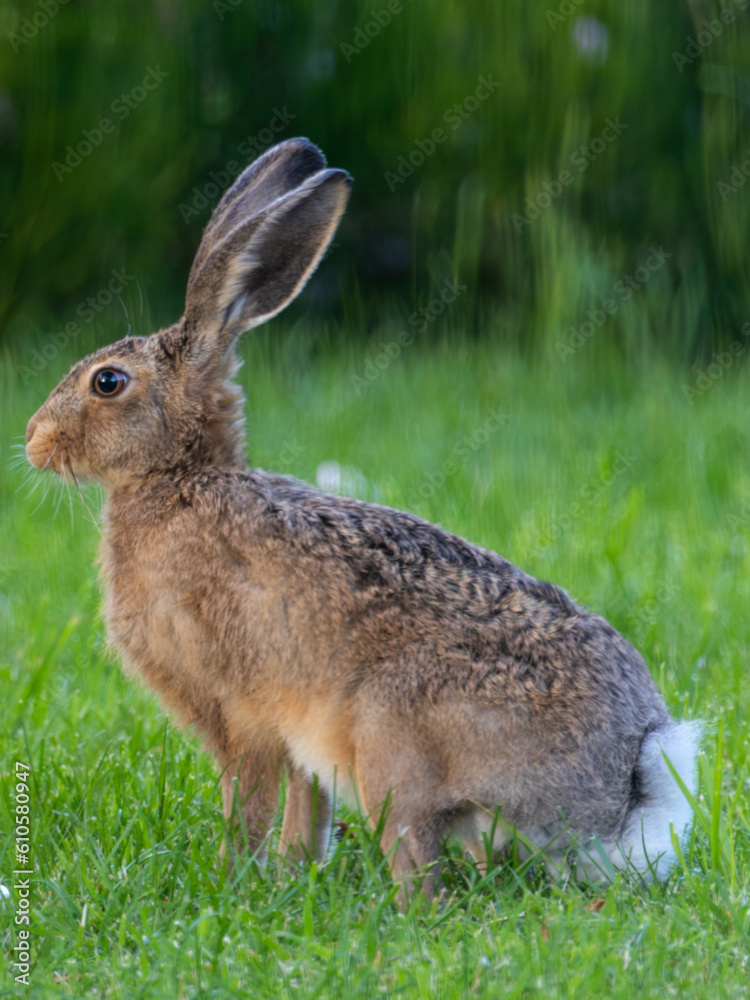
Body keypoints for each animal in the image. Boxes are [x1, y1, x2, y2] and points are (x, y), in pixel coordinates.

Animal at [25, 137, 701, 900]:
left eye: (107, 382)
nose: (33, 441)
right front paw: (293, 875)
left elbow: (248, 801)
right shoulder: (297, 736)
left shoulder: (241, 713)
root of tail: (622, 792)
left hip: (390, 742)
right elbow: (305, 804)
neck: (181, 479)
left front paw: (235, 883)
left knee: (419, 870)